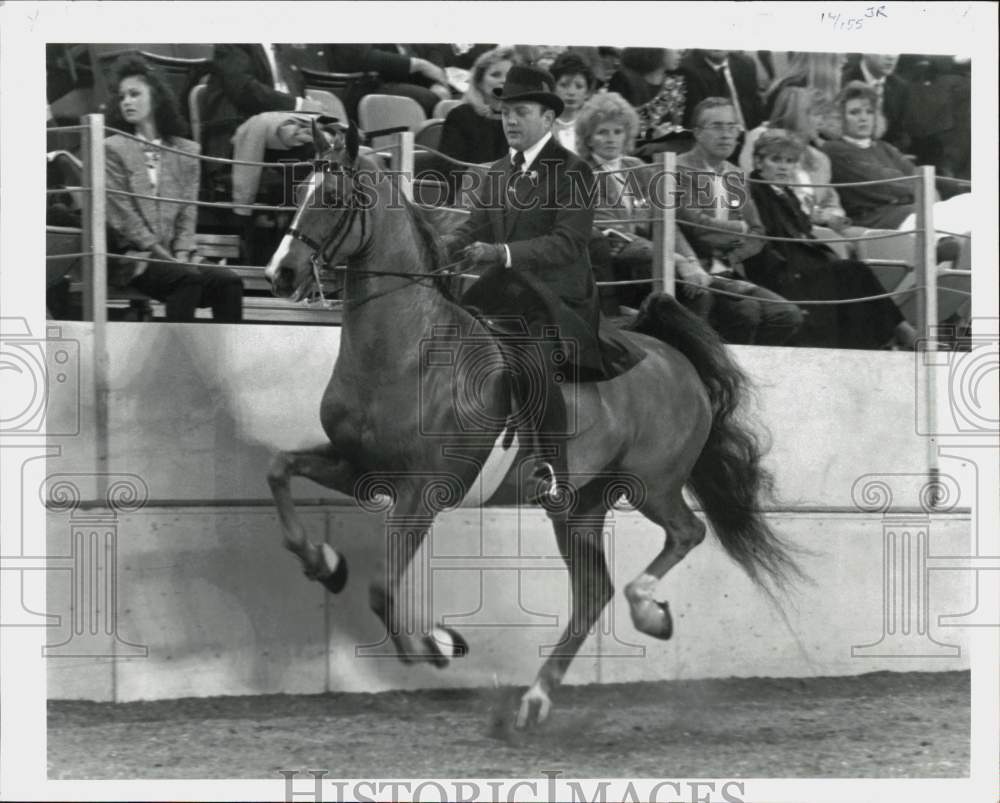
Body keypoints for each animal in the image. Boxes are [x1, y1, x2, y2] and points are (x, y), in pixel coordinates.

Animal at [262, 122, 800, 732]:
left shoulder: (422, 490)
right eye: (299, 190)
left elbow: (381, 589)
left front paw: (435, 646)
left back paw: (647, 612)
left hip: (651, 486)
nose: (279, 274)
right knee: (593, 593)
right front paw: (323, 563)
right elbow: (279, 468)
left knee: (685, 535)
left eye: (331, 197)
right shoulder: (358, 466)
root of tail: (675, 357)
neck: (404, 350)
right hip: (579, 504)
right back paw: (536, 698)